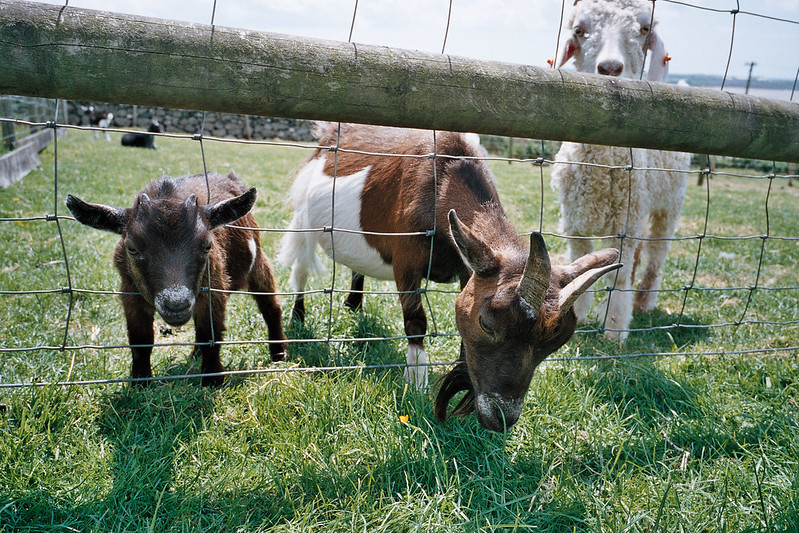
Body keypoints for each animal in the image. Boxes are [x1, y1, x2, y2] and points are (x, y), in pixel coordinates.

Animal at [67, 172, 288, 384]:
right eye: (132, 248)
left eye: (207, 245)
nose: (176, 304)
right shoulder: (130, 293)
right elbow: (140, 340)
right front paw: (140, 382)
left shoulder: (213, 290)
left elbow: (210, 334)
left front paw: (213, 379)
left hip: (258, 262)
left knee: (270, 307)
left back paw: (279, 353)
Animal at [278, 122, 620, 430]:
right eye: (487, 324)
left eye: (555, 344)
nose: (501, 419)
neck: (441, 180)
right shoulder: (406, 261)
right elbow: (416, 321)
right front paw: (416, 383)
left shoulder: (466, 268)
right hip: (304, 217)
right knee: (300, 268)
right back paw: (298, 317)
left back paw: (353, 306)